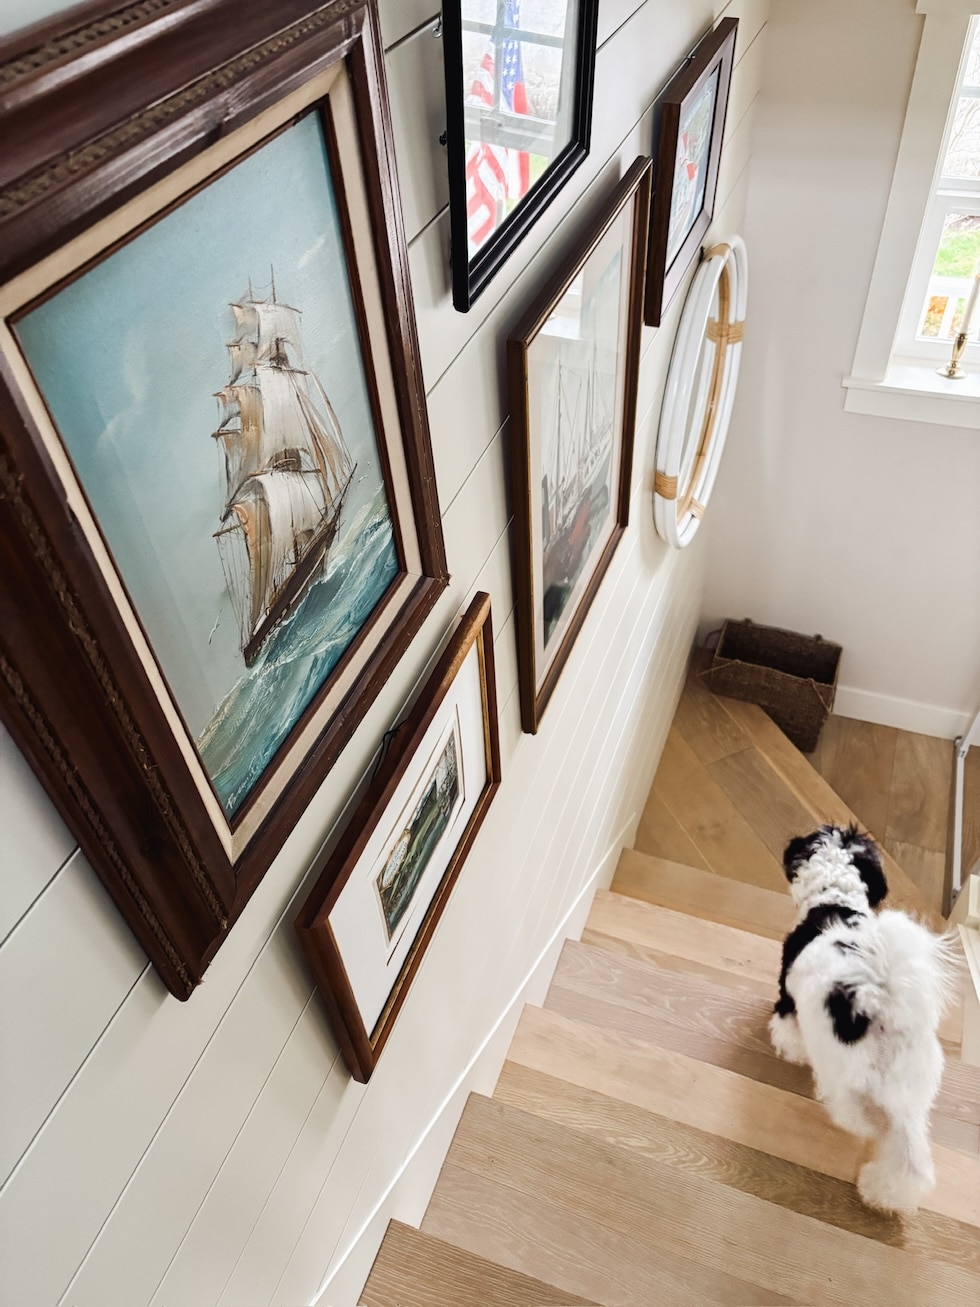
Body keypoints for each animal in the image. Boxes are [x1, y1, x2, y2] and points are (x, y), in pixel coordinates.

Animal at [768, 826, 961, 1212]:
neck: (835, 900)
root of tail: (882, 1007)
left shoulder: (788, 996)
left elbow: (787, 1026)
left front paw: (789, 1048)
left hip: (843, 1074)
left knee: (852, 1113)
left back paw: (867, 1131)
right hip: (912, 1091)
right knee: (911, 1157)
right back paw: (884, 1192)